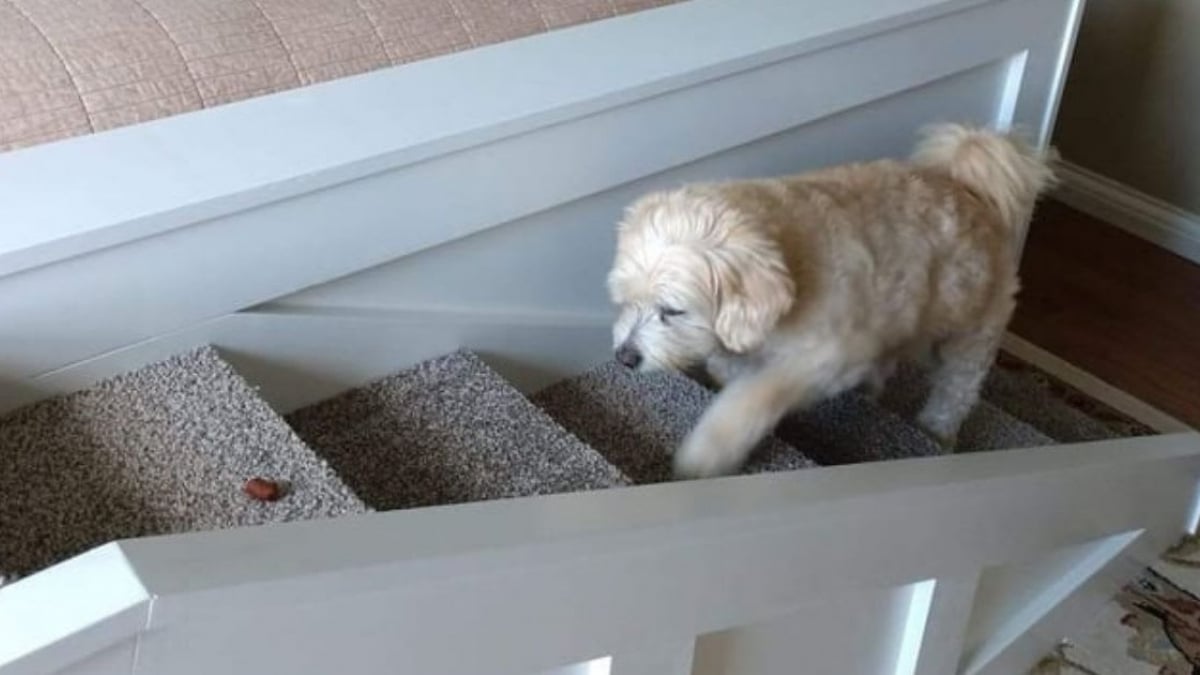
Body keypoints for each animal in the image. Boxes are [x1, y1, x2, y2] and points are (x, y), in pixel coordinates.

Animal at [604, 121, 1056, 478]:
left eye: (672, 311)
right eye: (625, 301)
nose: (625, 357)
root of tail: (969, 188)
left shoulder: (830, 353)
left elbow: (755, 394)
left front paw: (710, 450)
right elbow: (730, 367)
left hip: (974, 329)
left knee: (958, 387)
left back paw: (937, 430)